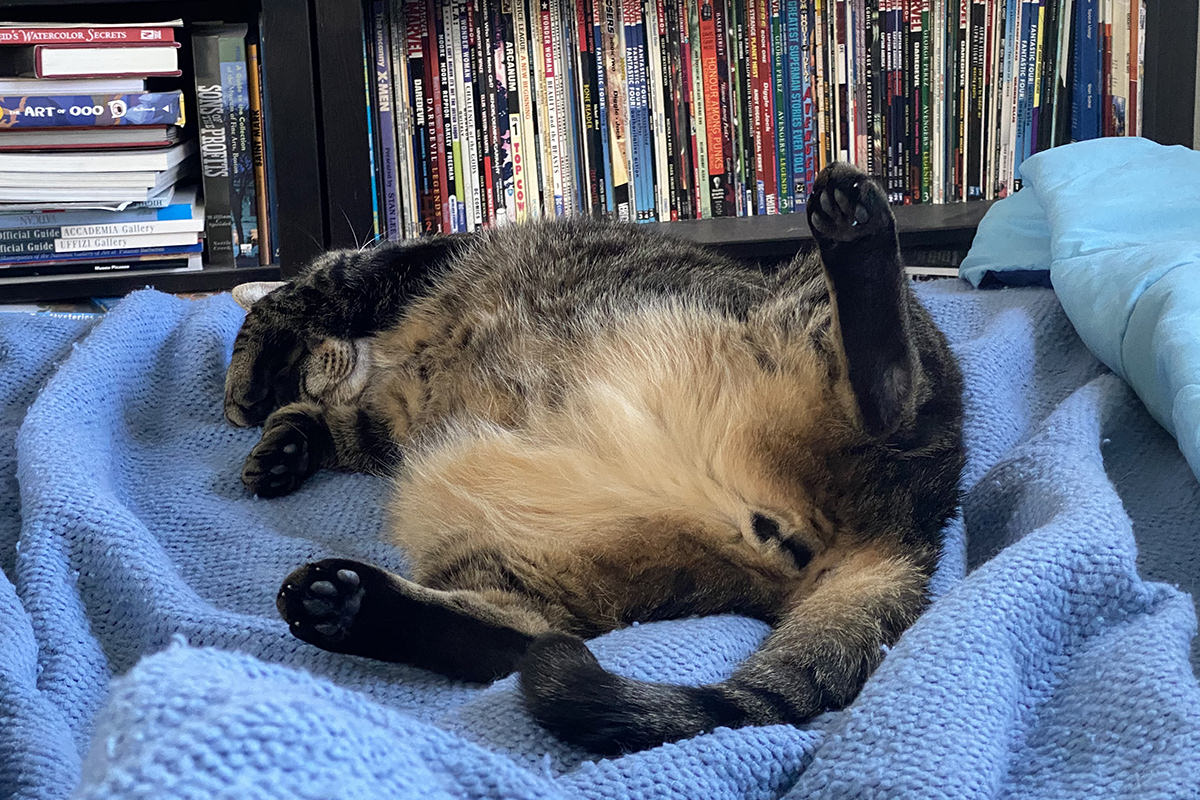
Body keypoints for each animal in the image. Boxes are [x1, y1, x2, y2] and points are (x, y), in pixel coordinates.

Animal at [226, 165, 964, 753]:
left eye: (293, 365)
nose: (294, 381)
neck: (380, 365)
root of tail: (915, 535)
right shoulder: (385, 427)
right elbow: (324, 424)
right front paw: (279, 449)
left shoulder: (398, 269)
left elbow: (295, 295)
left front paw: (251, 387)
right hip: (522, 556)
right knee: (523, 644)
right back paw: (346, 606)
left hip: (818, 308)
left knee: (892, 393)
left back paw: (854, 231)